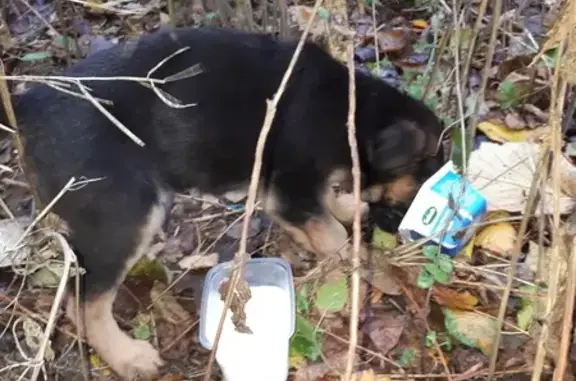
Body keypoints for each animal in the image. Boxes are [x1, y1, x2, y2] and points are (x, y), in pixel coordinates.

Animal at [2, 26, 446, 378]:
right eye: (427, 173)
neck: (353, 110)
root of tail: (26, 107)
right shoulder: (291, 186)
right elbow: (333, 234)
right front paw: (356, 271)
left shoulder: (285, 190)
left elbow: (324, 209)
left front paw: (346, 208)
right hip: (126, 214)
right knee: (85, 302)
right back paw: (128, 357)